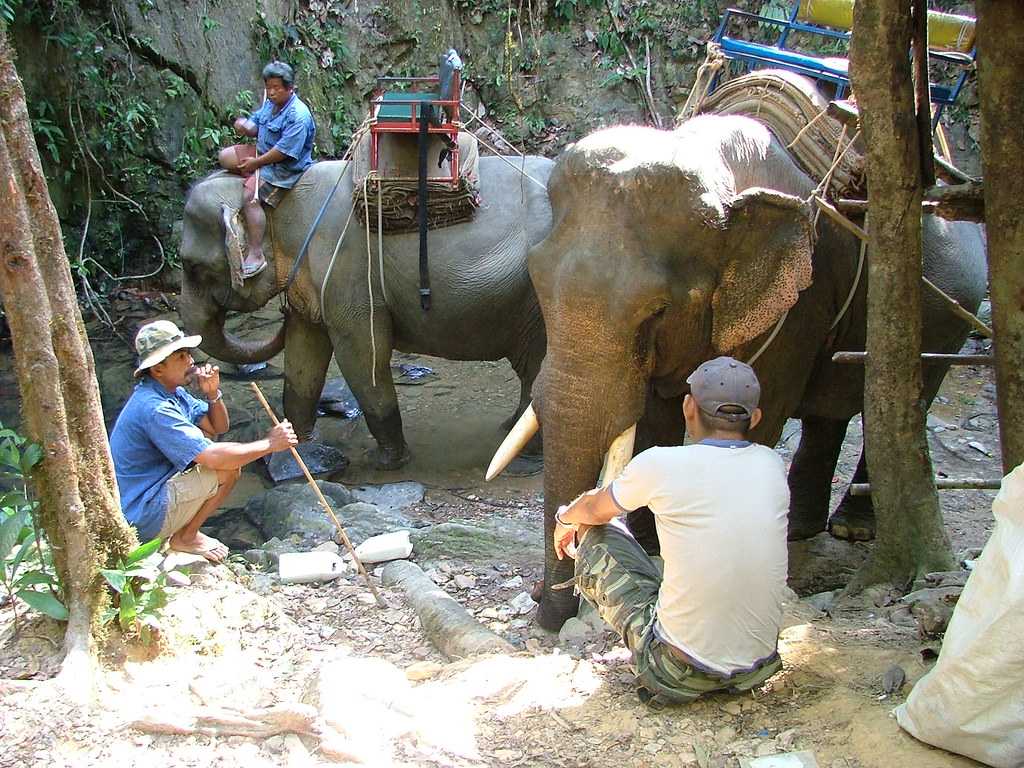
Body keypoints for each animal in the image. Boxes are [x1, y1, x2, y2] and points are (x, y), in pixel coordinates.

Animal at [180, 156, 557, 468]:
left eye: (193, 268)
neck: (279, 202)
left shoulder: (349, 275)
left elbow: (362, 357)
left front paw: (385, 463)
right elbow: (304, 355)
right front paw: (299, 445)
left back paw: (526, 457)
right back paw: (508, 430)